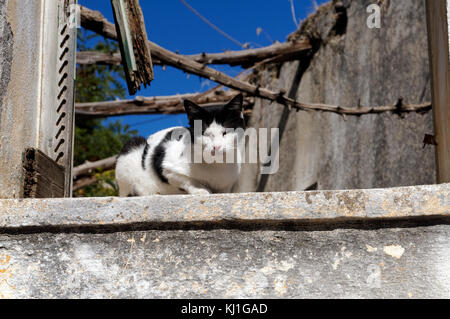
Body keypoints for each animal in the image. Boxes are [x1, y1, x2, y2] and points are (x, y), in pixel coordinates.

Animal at [114, 94, 244, 196]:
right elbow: (188, 180)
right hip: (133, 145)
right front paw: (201, 189)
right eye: (205, 134)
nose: (216, 147)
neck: (218, 165)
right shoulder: (166, 167)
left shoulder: (228, 185)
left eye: (225, 132)